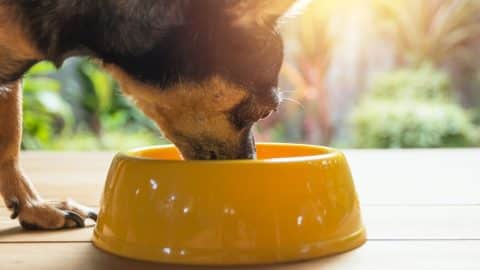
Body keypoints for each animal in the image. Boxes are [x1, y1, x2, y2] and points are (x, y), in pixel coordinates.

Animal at [0, 0, 306, 230]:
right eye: (265, 113)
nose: (251, 164)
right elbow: (12, 137)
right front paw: (34, 205)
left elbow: (10, 140)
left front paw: (33, 207)